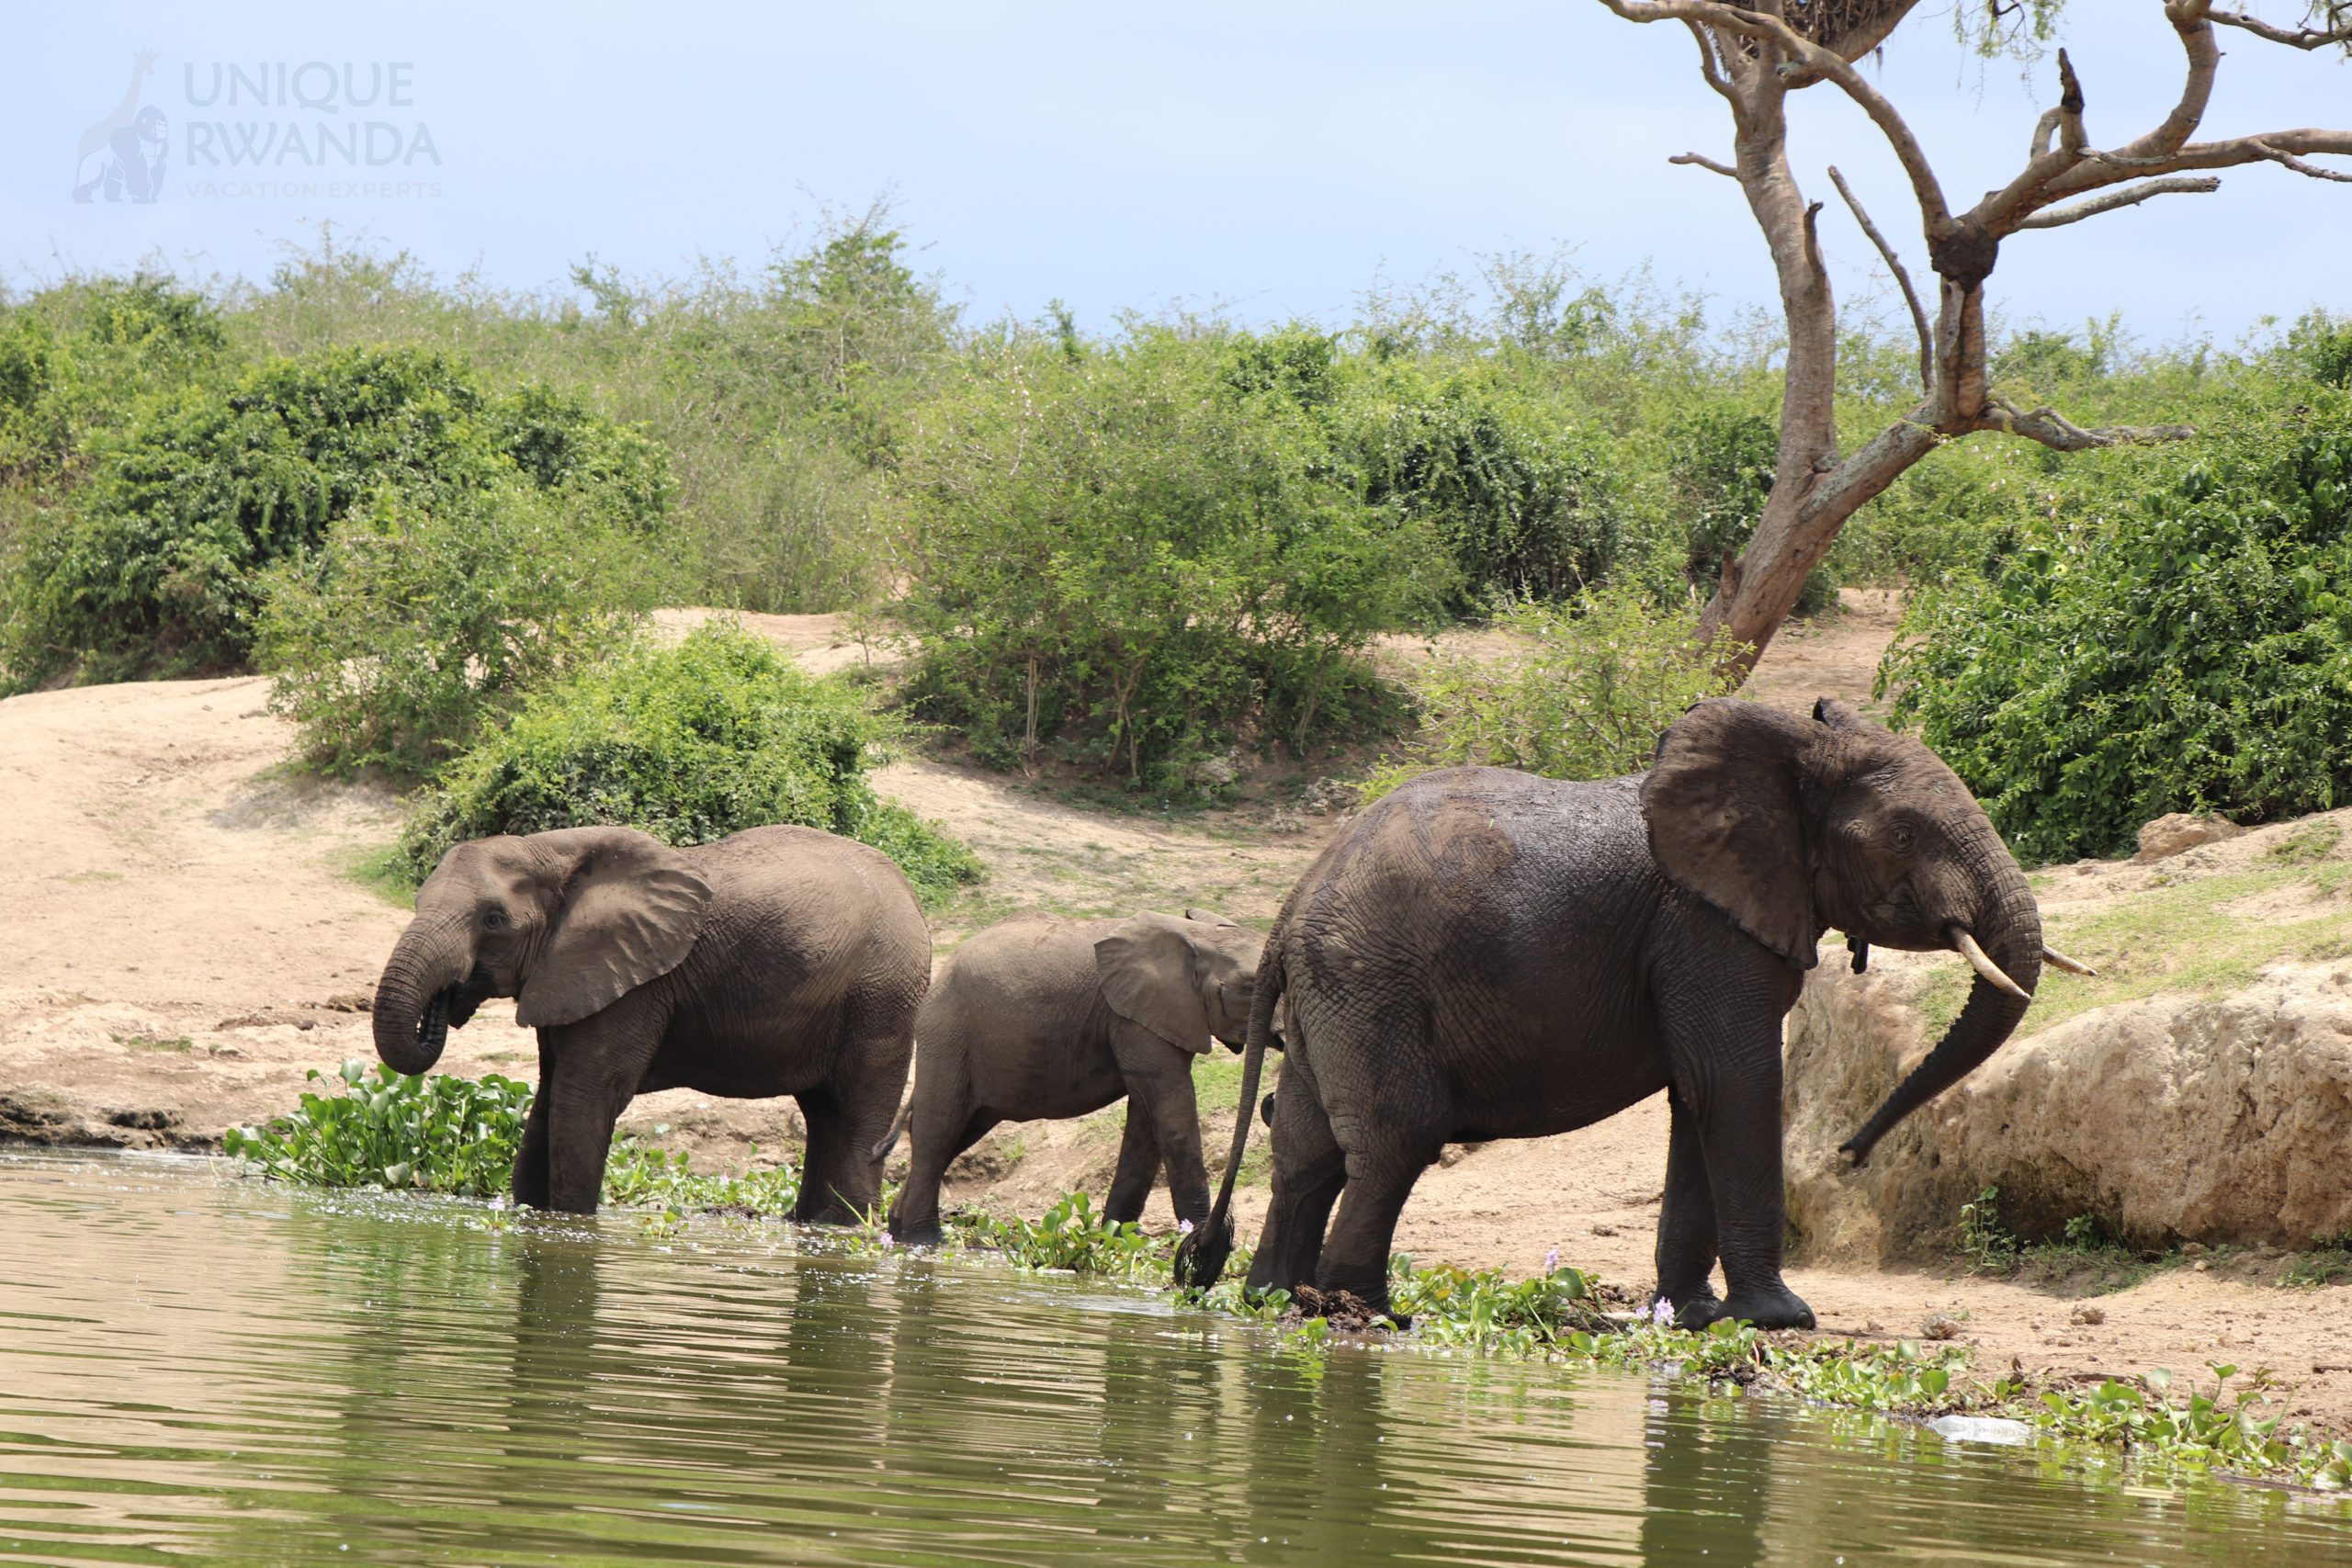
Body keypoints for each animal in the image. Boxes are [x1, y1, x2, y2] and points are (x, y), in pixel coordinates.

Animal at [374, 827, 926, 1222]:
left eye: (493, 920)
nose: (447, 999)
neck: (551, 850)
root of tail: (910, 893)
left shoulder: (634, 985)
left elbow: (583, 1097)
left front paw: (570, 1221)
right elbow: (550, 1096)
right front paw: (533, 1214)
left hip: (882, 995)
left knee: (857, 1110)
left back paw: (846, 1226)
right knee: (823, 1113)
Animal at [875, 911, 1270, 1241]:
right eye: (1251, 987)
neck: (1195, 933)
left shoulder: (1149, 1018)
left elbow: (1147, 1116)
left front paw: (1117, 1237)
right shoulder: (1135, 1019)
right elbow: (1169, 1108)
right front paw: (1199, 1240)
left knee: (957, 1133)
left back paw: (898, 1227)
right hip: (949, 1035)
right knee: (939, 1134)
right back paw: (925, 1240)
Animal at [1176, 700, 2098, 1325]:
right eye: (1906, 836)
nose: (1851, 1152)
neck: (1793, 751)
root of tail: (1290, 906)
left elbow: (1699, 1097)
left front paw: (1694, 1316)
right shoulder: (1704, 925)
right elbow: (1737, 1084)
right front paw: (1782, 1318)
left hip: (1333, 989)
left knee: (1307, 1148)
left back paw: (1271, 1297)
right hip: (1372, 979)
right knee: (1396, 1136)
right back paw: (1363, 1309)